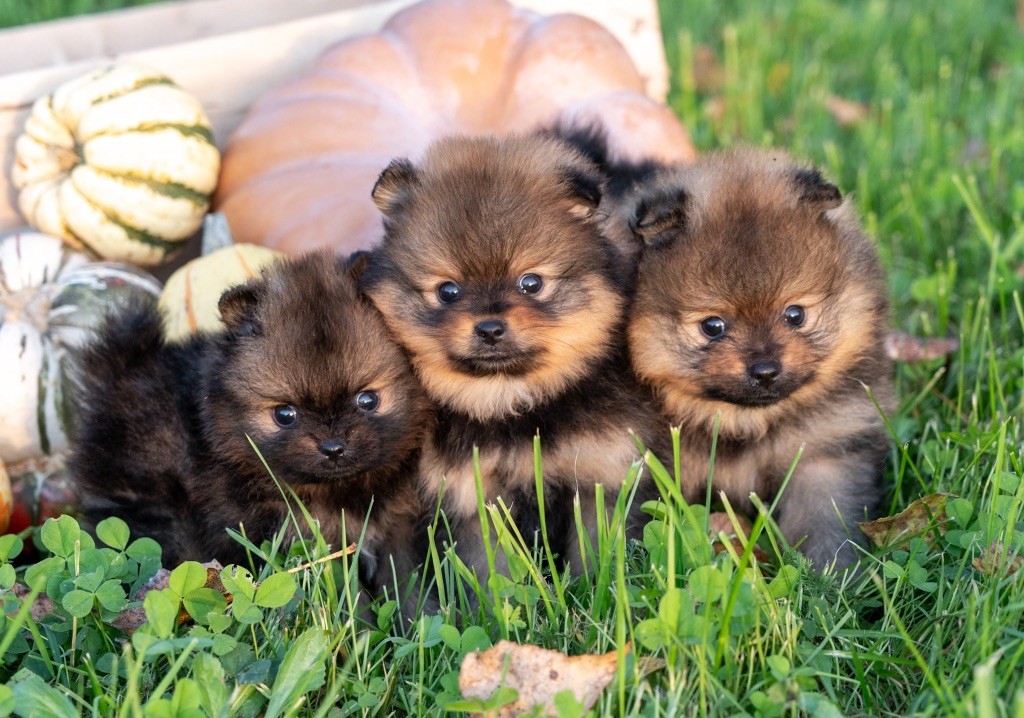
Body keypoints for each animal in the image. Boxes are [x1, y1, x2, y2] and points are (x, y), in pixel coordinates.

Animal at [68, 250, 428, 589]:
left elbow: (405, 579)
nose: (333, 447)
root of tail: (119, 373)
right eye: (285, 415)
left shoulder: (398, 525)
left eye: (368, 400)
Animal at [362, 134, 671, 589]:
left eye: (531, 283)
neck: (516, 400)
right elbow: (491, 571)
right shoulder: (473, 494)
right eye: (448, 291)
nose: (489, 327)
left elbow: (595, 555)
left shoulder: (602, 474)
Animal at [614, 148, 888, 569]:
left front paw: (833, 574)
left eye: (795, 315)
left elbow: (827, 521)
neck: (742, 423)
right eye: (712, 326)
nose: (765, 370)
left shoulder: (826, 450)